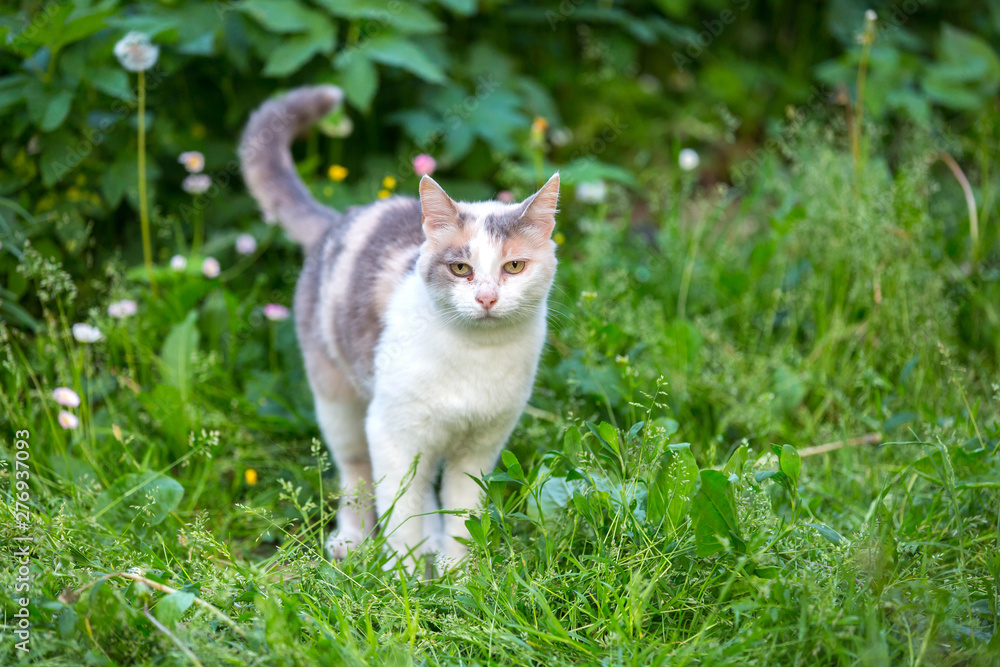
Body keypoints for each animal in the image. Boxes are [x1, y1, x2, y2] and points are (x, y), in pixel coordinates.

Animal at [238, 85, 560, 568]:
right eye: (461, 268)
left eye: (514, 266)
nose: (486, 297)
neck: (476, 356)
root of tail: (340, 219)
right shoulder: (392, 433)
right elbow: (399, 514)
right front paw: (402, 577)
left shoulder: (481, 446)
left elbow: (462, 516)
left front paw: (457, 575)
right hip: (339, 403)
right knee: (356, 473)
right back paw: (352, 541)